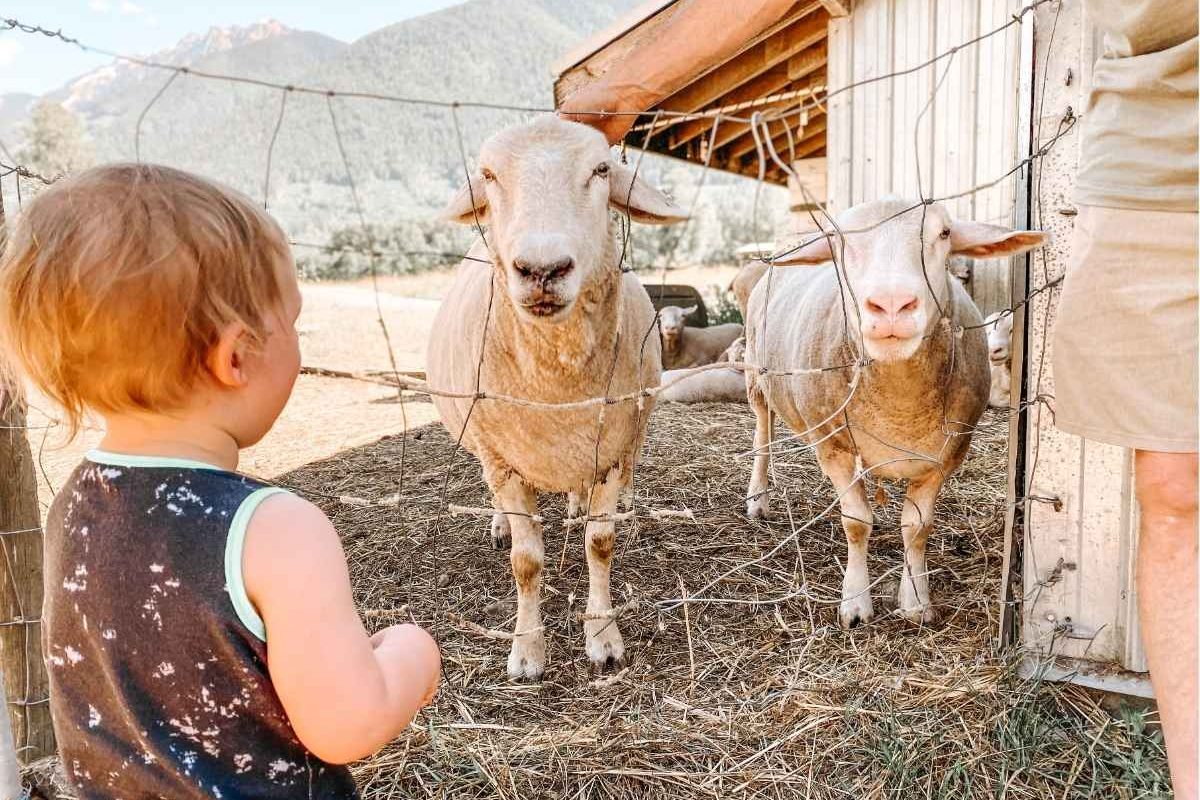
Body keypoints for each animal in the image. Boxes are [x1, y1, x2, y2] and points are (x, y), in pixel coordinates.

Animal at [427, 117, 686, 681]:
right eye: (488, 175)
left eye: (601, 170)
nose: (542, 269)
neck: (556, 387)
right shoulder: (502, 458)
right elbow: (527, 563)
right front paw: (527, 649)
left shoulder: (610, 450)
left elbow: (599, 543)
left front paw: (603, 636)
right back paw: (502, 524)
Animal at [744, 196, 1046, 628]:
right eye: (839, 240)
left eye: (944, 233)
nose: (891, 305)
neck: (899, 404)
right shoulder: (833, 445)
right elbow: (856, 522)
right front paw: (855, 603)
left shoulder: (947, 454)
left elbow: (916, 528)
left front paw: (916, 601)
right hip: (756, 373)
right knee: (763, 430)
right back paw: (758, 498)